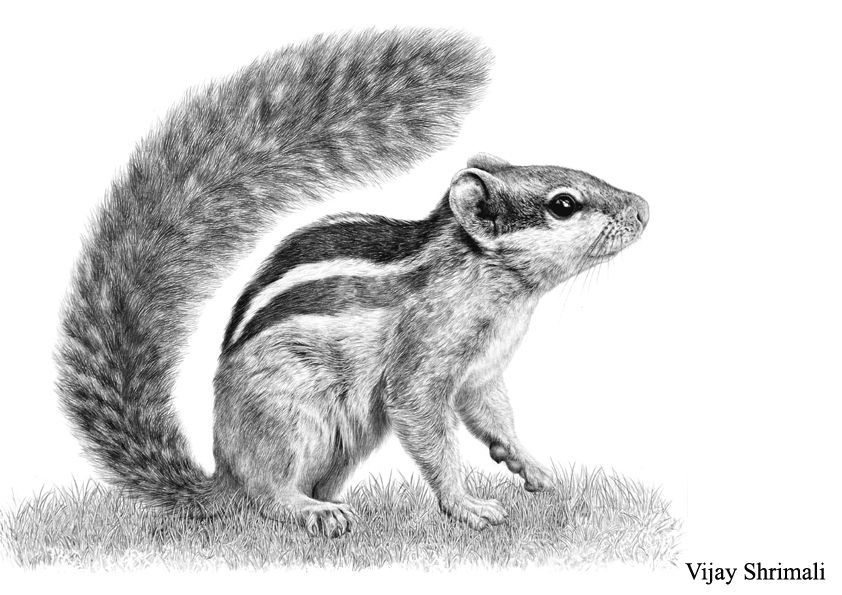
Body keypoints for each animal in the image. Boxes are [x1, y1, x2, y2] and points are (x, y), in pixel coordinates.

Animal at [57, 28, 649, 538]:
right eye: (563, 204)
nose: (643, 208)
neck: (499, 289)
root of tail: (223, 474)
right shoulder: (423, 358)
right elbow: (427, 425)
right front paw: (465, 505)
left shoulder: (482, 370)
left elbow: (494, 415)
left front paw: (531, 466)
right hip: (288, 416)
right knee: (267, 495)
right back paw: (311, 511)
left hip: (350, 439)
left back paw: (338, 502)